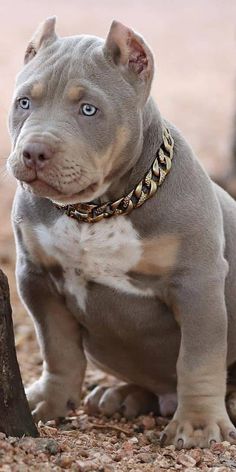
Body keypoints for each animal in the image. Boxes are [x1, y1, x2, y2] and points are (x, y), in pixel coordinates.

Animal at [5, 17, 236, 446]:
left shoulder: (197, 284)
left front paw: (198, 423)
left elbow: (197, 359)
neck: (99, 209)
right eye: (24, 102)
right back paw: (122, 395)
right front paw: (50, 400)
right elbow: (57, 348)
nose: (34, 152)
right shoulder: (38, 277)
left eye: (88, 110)